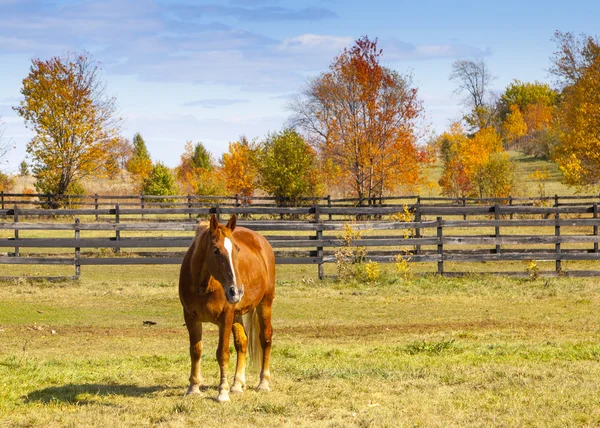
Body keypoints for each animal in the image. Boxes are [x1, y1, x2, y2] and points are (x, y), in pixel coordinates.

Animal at [176, 216, 274, 402]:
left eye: (237, 249)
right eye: (216, 250)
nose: (237, 291)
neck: (204, 286)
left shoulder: (225, 318)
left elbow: (223, 354)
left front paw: (222, 392)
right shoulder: (190, 317)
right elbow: (196, 351)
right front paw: (194, 388)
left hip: (264, 304)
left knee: (265, 338)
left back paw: (263, 383)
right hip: (237, 315)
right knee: (242, 342)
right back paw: (237, 385)